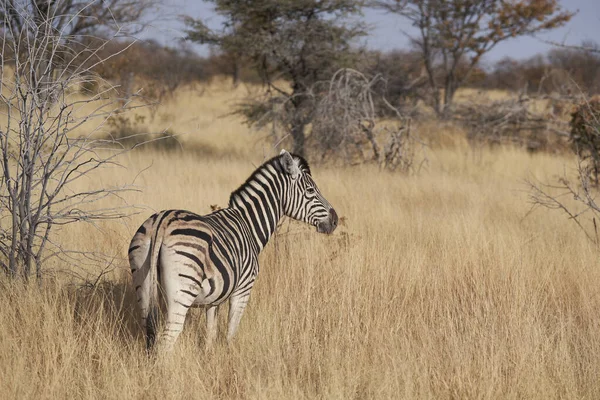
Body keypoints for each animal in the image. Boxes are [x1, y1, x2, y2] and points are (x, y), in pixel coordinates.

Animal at [127, 149, 338, 350]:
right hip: (183, 288)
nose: (335, 220)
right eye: (310, 190)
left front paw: (209, 357)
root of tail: (162, 223)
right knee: (168, 338)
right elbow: (231, 332)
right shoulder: (243, 289)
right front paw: (230, 356)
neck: (249, 225)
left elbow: (211, 333)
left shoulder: (214, 299)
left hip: (143, 281)